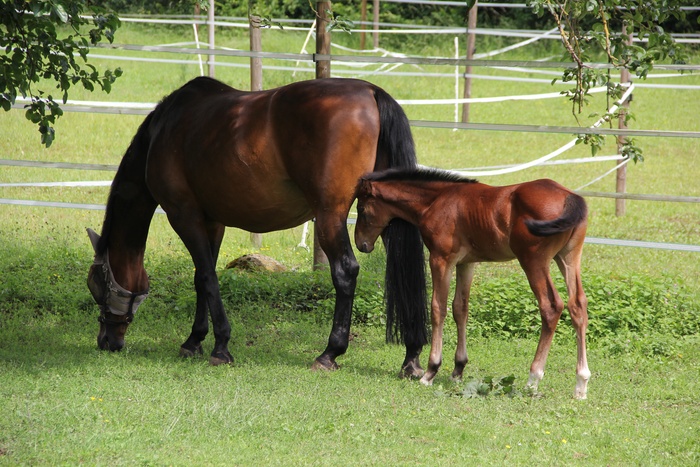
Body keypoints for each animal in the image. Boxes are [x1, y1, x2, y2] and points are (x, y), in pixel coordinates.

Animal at [85, 77, 430, 376]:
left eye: (95, 285)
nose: (107, 341)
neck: (165, 129)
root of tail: (371, 92)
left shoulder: (184, 216)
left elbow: (207, 277)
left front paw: (220, 347)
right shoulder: (213, 222)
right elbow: (201, 278)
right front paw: (194, 340)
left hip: (330, 215)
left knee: (345, 272)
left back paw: (329, 353)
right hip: (382, 213)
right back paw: (411, 356)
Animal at [356, 168, 592, 398]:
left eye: (361, 208)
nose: (361, 244)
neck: (436, 201)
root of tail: (570, 197)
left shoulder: (441, 259)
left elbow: (438, 308)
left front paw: (431, 372)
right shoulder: (466, 263)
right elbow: (460, 308)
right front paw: (458, 370)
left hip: (533, 261)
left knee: (551, 307)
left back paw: (533, 380)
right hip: (569, 257)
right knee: (577, 305)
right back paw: (581, 383)